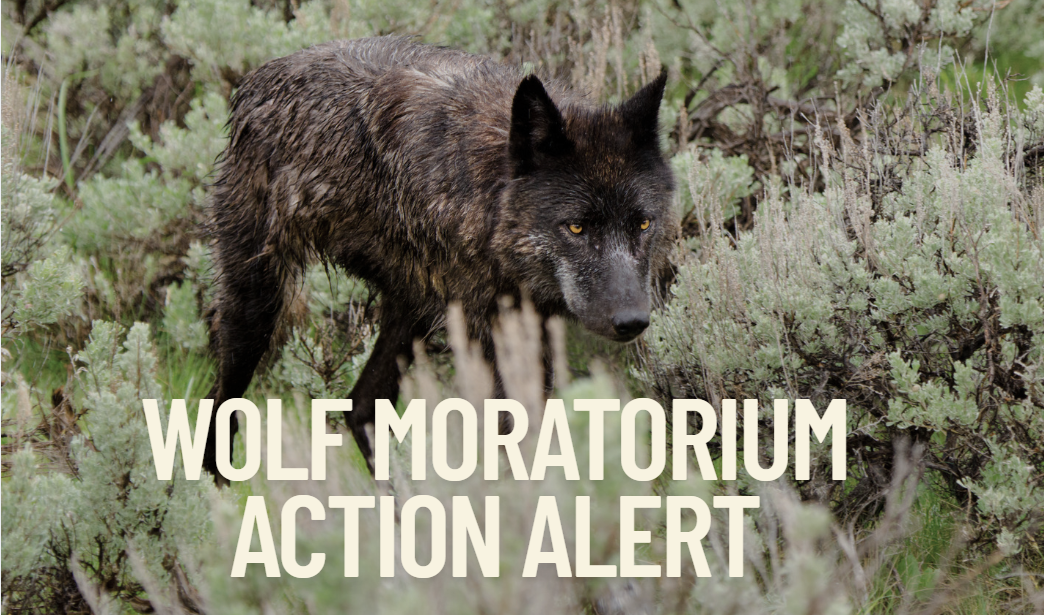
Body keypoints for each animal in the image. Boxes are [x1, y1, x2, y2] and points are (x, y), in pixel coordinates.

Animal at [201, 36, 677, 480]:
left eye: (642, 224)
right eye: (576, 227)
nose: (632, 321)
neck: (486, 187)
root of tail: (262, 73)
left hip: (410, 313)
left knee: (360, 407)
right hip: (256, 305)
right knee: (221, 406)